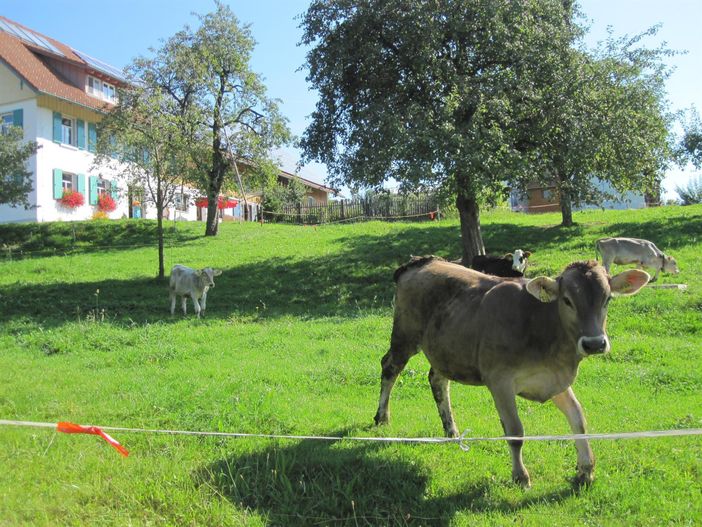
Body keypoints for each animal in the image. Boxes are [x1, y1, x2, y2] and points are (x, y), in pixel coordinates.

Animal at [376, 256, 652, 486]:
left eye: (608, 299)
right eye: (567, 300)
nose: (594, 343)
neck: (542, 325)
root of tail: (420, 261)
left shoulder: (553, 378)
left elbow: (578, 419)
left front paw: (586, 470)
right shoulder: (500, 381)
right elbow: (515, 431)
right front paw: (521, 476)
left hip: (447, 349)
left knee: (438, 381)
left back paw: (451, 430)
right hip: (405, 336)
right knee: (390, 368)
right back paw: (382, 417)